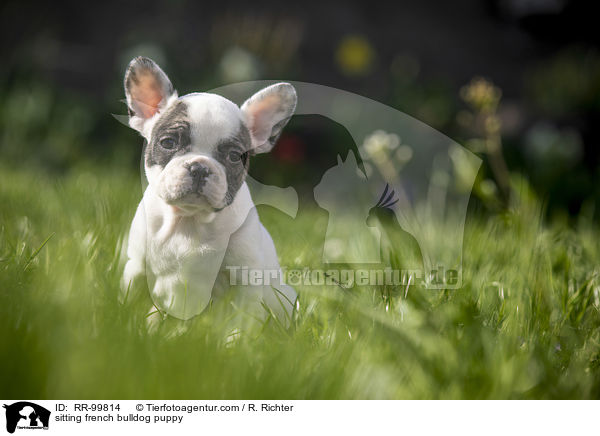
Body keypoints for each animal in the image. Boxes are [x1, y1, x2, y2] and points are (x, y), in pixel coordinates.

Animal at [121, 56, 298, 324]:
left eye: (235, 156)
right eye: (168, 143)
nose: (199, 167)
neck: (190, 219)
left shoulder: (245, 283)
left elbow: (241, 323)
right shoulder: (138, 268)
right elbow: (128, 302)